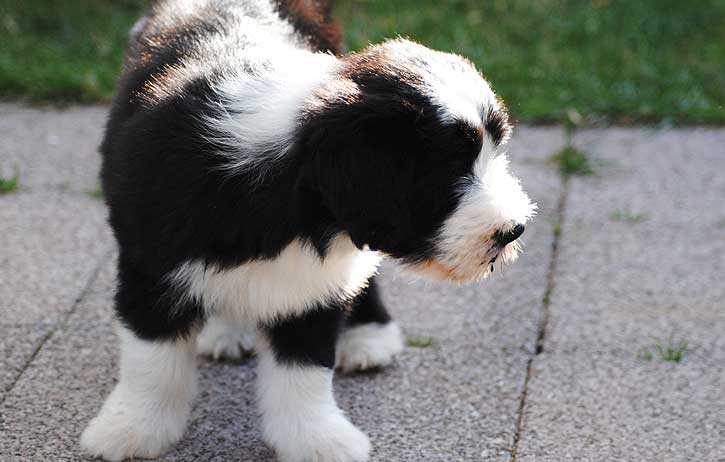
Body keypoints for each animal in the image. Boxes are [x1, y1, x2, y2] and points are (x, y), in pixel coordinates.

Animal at [80, 0, 536, 462]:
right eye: (449, 169)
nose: (513, 230)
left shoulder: (315, 283)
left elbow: (304, 367)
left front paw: (316, 440)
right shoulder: (151, 260)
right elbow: (151, 356)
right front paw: (132, 429)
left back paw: (368, 335)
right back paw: (225, 330)